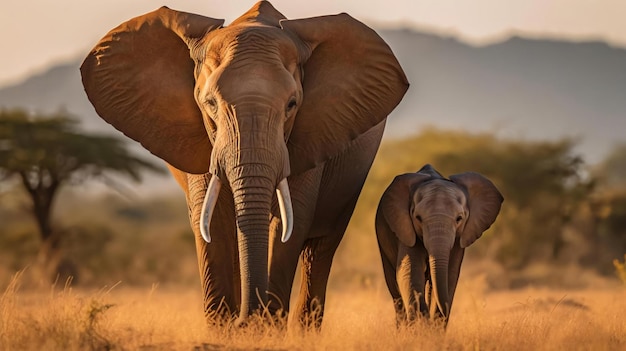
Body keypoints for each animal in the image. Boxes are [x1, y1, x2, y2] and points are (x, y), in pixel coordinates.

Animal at [80, 1, 408, 328]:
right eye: (210, 103)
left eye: (292, 105)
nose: (246, 320)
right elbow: (213, 222)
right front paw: (231, 329)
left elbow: (289, 222)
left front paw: (261, 327)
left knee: (319, 251)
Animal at [372, 165, 500, 328]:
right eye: (418, 218)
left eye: (459, 218)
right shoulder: (406, 229)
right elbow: (409, 273)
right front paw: (422, 327)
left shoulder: (458, 239)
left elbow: (450, 275)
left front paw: (432, 328)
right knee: (394, 287)